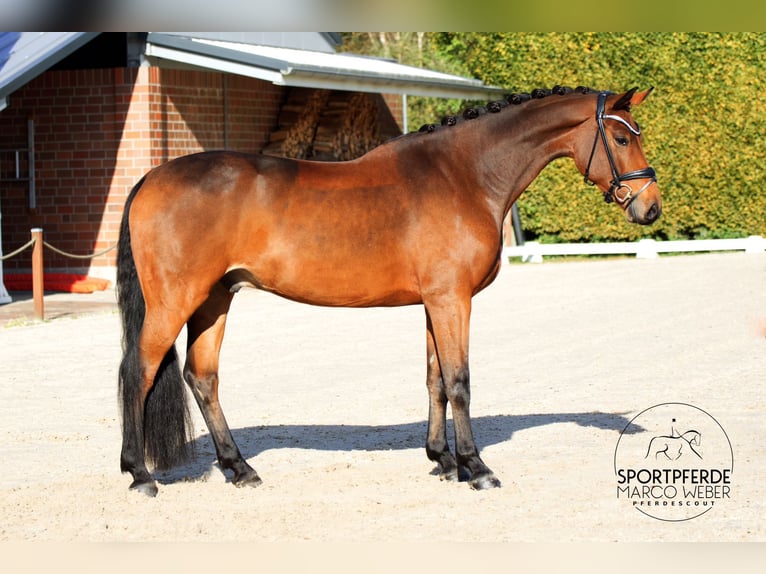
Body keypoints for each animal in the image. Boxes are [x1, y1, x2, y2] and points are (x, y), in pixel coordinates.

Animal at [117, 86, 664, 500]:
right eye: (620, 136)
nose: (651, 207)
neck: (464, 175)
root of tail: (151, 178)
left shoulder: (436, 302)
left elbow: (435, 380)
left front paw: (443, 460)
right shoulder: (451, 300)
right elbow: (460, 381)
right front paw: (476, 467)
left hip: (215, 300)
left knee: (202, 377)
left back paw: (239, 469)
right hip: (175, 301)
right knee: (137, 372)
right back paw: (140, 475)